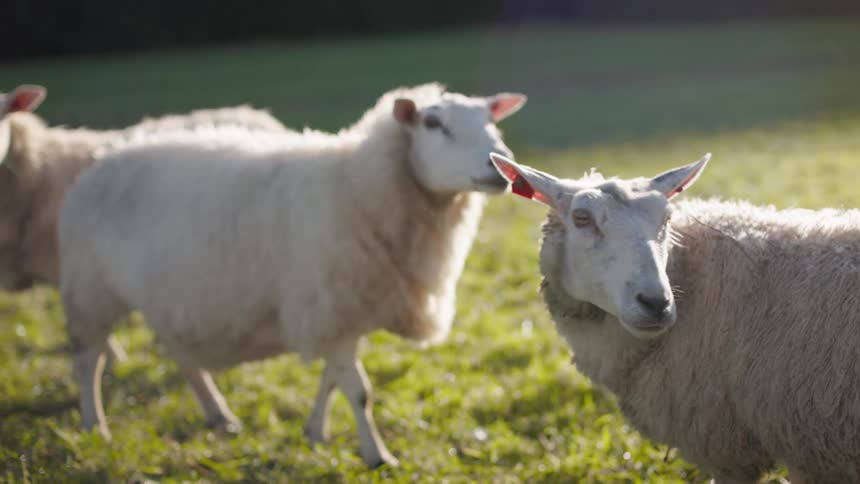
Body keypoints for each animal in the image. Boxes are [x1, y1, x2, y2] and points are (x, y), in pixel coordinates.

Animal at [58, 83, 527, 467]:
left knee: (183, 358)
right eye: (433, 123)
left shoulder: (341, 310)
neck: (356, 185)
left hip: (168, 295)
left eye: (491, 120)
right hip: (90, 289)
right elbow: (357, 391)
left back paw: (218, 414)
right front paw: (378, 456)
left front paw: (315, 433)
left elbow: (331, 381)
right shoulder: (333, 305)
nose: (500, 164)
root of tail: (100, 162)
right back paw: (95, 426)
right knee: (88, 361)